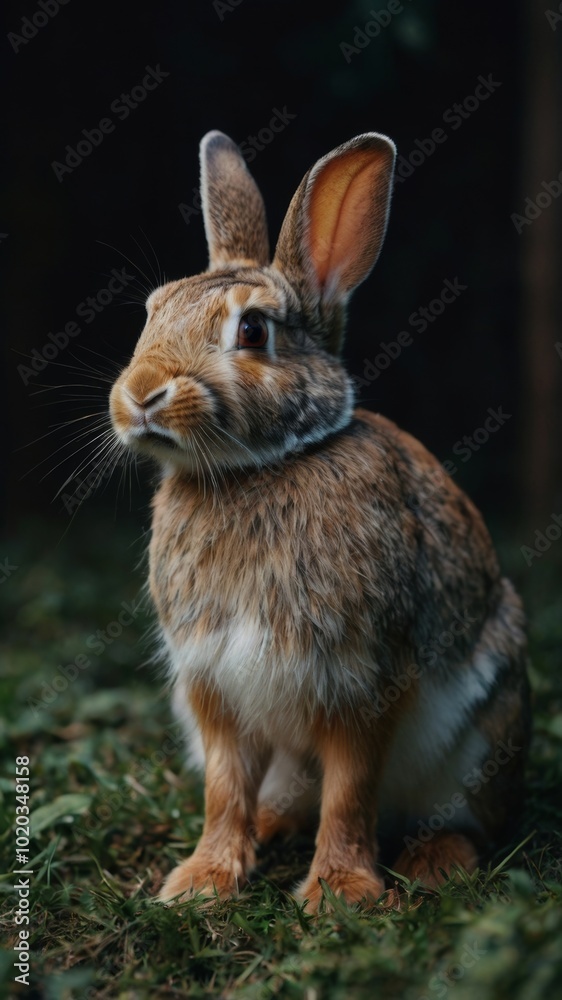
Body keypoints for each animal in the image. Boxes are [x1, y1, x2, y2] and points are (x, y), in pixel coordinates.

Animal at [109, 130, 531, 912]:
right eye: (152, 311)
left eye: (252, 330)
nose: (141, 393)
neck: (259, 468)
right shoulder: (213, 683)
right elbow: (224, 789)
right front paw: (201, 881)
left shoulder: (363, 677)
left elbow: (350, 790)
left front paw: (341, 893)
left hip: (485, 737)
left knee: (463, 819)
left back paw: (436, 861)